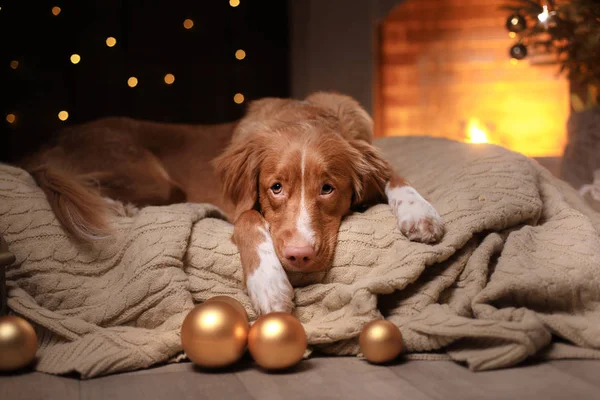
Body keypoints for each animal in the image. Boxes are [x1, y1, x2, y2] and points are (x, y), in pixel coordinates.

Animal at [18, 91, 442, 316]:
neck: (303, 117)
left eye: (328, 188)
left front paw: (419, 212)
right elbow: (250, 223)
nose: (299, 256)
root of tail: (41, 146)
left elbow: (394, 175)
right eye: (275, 188)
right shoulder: (239, 208)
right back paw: (121, 209)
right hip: (153, 180)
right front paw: (269, 284)